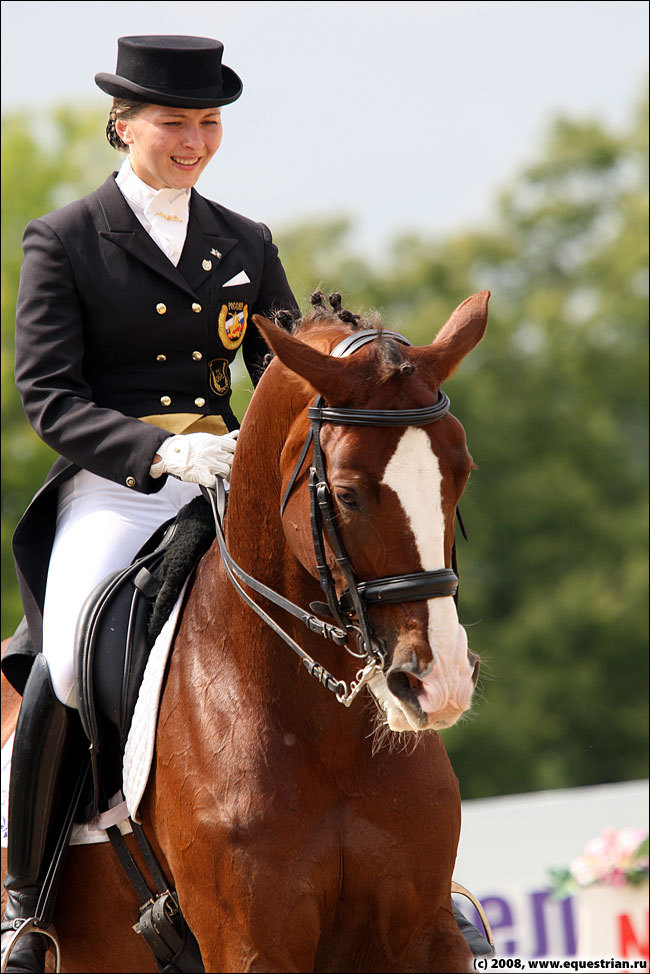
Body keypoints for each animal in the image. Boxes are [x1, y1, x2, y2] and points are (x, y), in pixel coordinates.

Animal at [1, 292, 486, 974]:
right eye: (347, 494)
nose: (438, 684)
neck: (322, 735)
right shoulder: (250, 945)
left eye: (459, 473)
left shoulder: (425, 933)